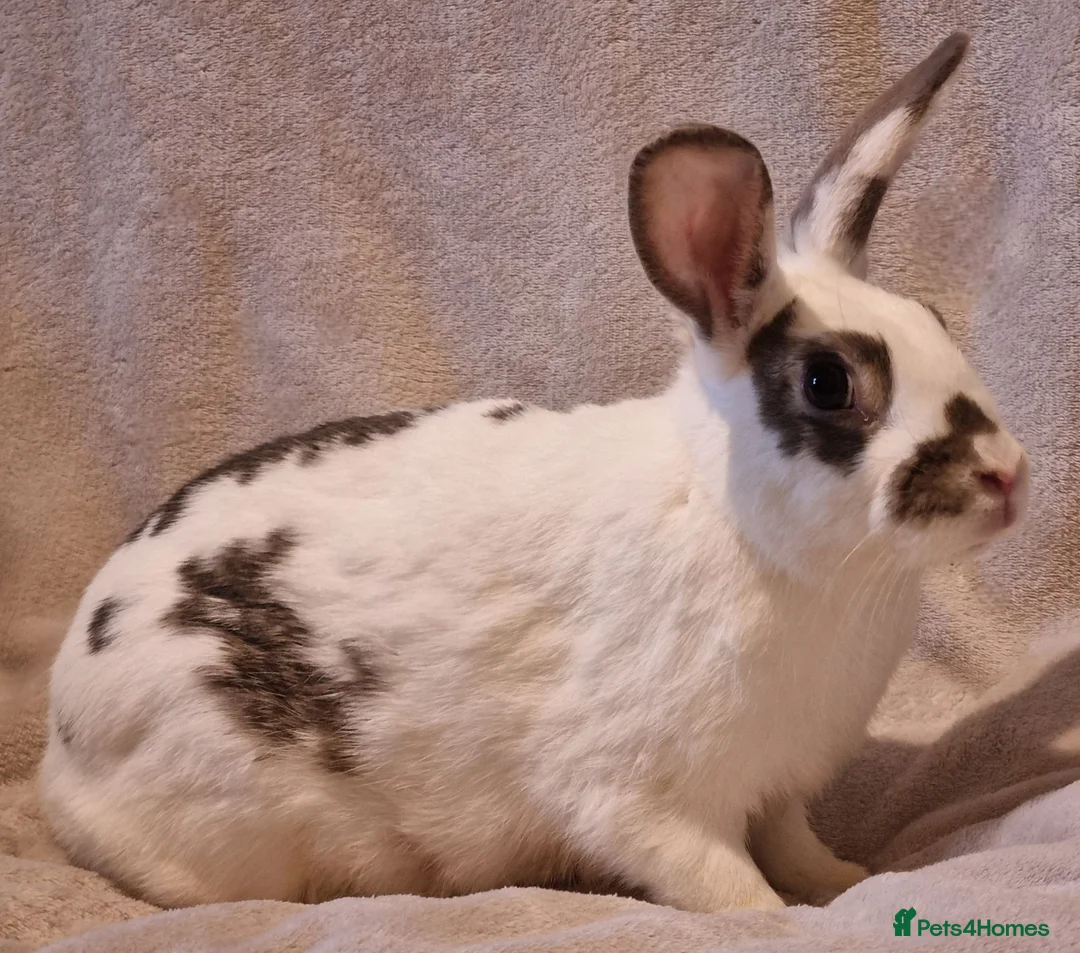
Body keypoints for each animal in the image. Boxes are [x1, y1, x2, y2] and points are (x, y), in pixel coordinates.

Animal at [41, 31, 1028, 913]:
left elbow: (795, 846)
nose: (1009, 475)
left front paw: (849, 880)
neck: (741, 523)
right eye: (829, 383)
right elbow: (723, 880)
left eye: (935, 318)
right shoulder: (642, 800)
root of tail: (60, 750)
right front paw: (778, 918)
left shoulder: (780, 784)